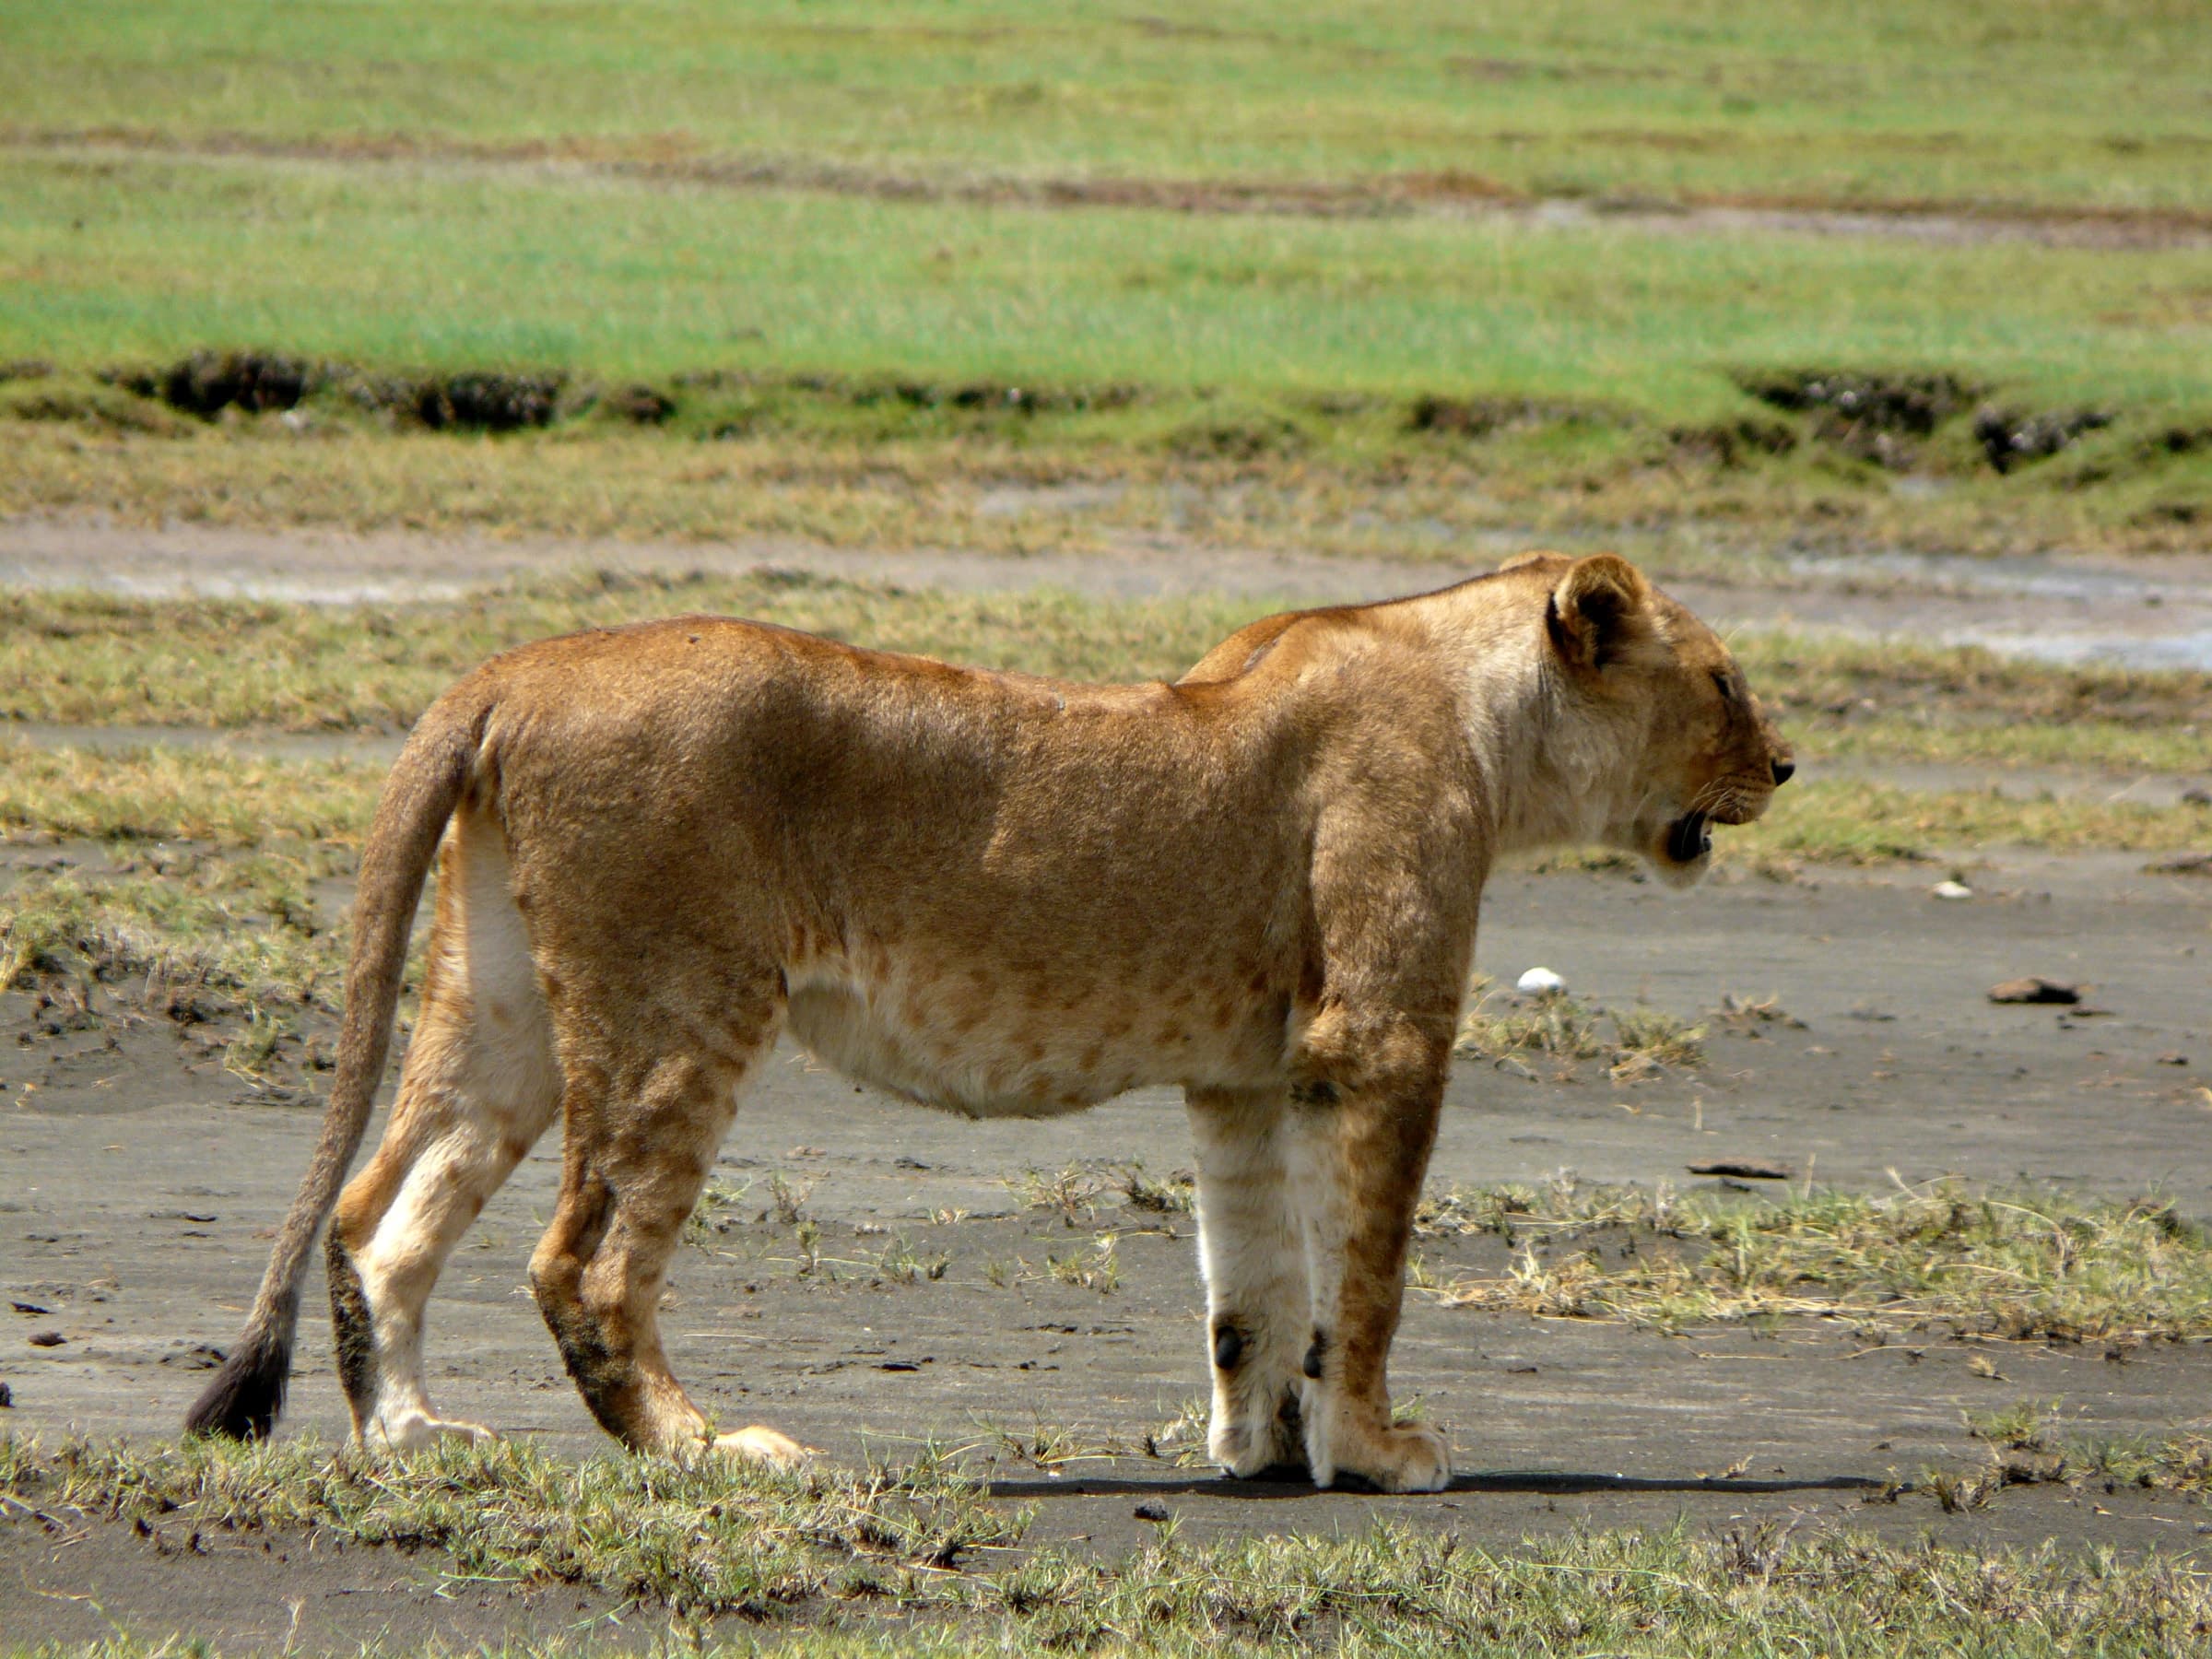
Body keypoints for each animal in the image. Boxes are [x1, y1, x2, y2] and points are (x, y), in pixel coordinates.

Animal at [185, 551, 1791, 1493]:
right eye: (1724, 679)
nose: (1786, 762)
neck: (1484, 716)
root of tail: (514, 666)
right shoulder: (1380, 1042)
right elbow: (1369, 1278)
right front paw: (1376, 1451)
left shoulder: (1248, 1075)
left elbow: (1255, 1282)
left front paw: (1258, 1451)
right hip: (680, 1009)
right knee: (579, 1265)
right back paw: (719, 1453)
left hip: (508, 1000)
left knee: (380, 1212)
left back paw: (412, 1438)